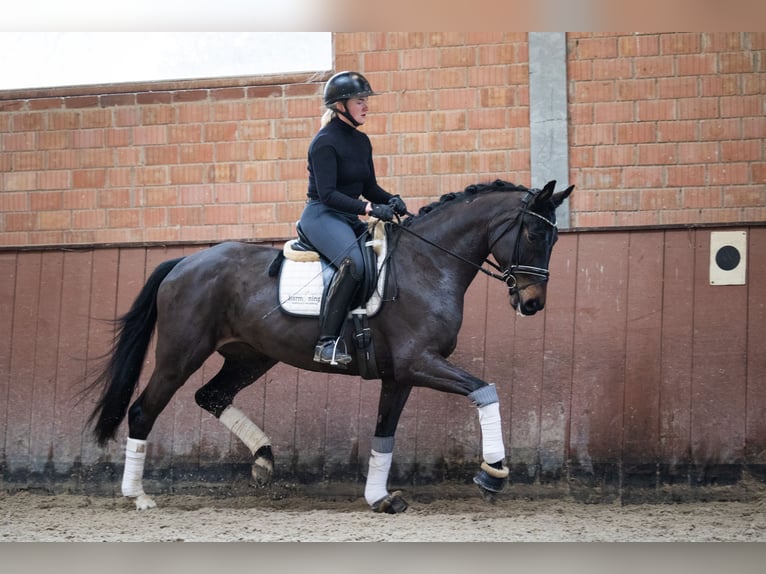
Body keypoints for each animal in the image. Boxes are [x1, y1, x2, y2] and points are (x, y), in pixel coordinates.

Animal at [87, 179, 572, 512]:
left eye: (554, 238)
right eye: (533, 234)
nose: (532, 303)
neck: (428, 264)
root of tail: (184, 261)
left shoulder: (401, 375)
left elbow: (384, 435)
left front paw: (379, 498)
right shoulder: (420, 362)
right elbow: (485, 390)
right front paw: (493, 474)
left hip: (250, 357)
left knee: (212, 396)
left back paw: (264, 460)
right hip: (180, 354)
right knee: (143, 410)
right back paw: (138, 496)